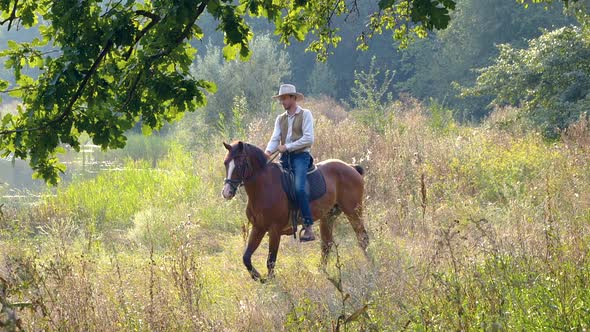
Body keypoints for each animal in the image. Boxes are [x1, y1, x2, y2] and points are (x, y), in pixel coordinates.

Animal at [222, 141, 370, 282]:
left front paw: (270, 282)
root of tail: (351, 167)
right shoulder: (258, 228)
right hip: (328, 217)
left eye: (240, 164)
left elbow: (271, 260)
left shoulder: (274, 230)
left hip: (353, 212)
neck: (264, 188)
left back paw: (370, 265)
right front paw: (258, 277)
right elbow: (246, 257)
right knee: (326, 244)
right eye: (225, 163)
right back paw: (322, 272)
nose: (227, 192)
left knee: (362, 239)